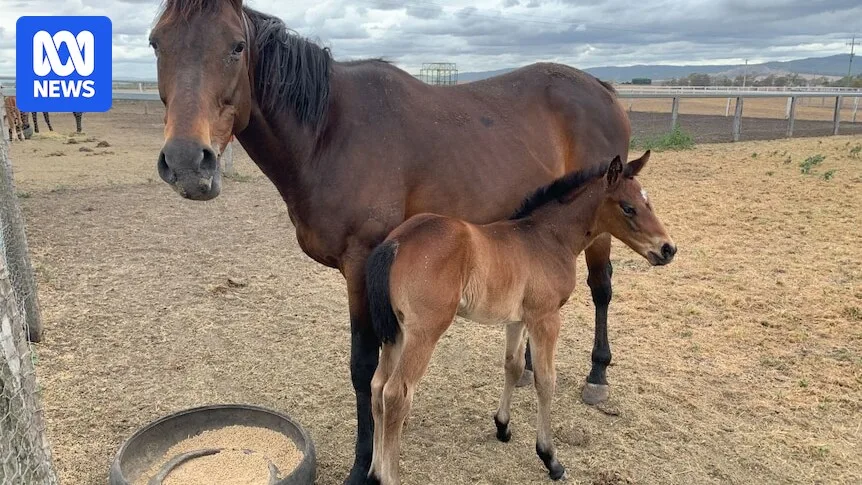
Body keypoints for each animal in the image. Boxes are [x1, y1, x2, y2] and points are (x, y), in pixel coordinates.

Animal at [150, 1, 633, 482]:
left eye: (237, 46)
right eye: (156, 43)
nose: (187, 162)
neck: (329, 133)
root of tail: (602, 88)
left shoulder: (361, 264)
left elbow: (364, 368)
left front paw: (363, 462)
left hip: (601, 228)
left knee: (601, 288)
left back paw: (598, 376)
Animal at [365, 152, 676, 484]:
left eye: (649, 203)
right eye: (628, 207)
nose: (667, 249)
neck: (548, 238)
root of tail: (395, 242)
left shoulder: (517, 319)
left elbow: (512, 367)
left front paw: (502, 426)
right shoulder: (546, 318)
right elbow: (545, 380)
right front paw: (550, 458)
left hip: (396, 331)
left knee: (378, 386)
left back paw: (373, 471)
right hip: (424, 332)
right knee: (396, 393)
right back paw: (388, 476)